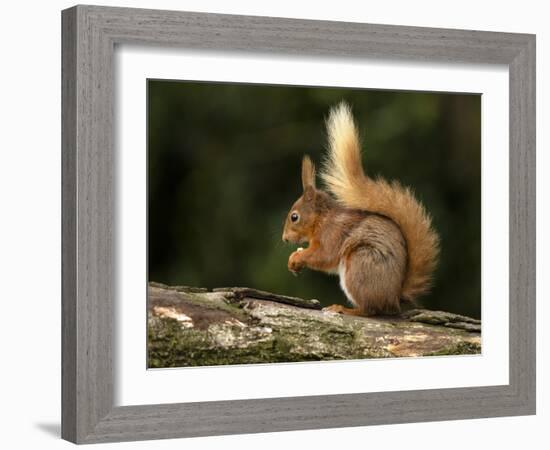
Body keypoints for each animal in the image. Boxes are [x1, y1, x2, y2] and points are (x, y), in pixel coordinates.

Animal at [282, 101, 442, 316]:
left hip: (359, 265)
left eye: (294, 217)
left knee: (369, 310)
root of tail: (393, 299)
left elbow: (323, 256)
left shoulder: (332, 234)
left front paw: (296, 257)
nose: (285, 239)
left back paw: (344, 309)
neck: (322, 219)